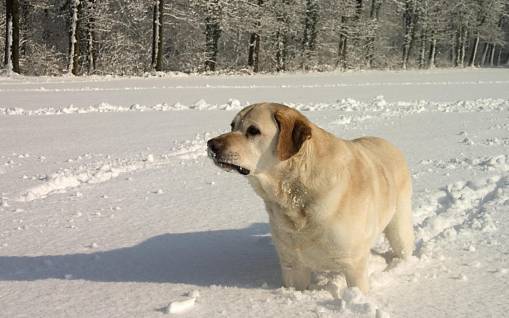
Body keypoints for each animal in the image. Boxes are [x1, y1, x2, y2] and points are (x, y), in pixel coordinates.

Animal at [206, 103, 412, 292]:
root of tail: (388, 143)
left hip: (399, 227)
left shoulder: (354, 264)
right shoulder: (292, 264)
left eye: (253, 130)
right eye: (232, 125)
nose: (211, 144)